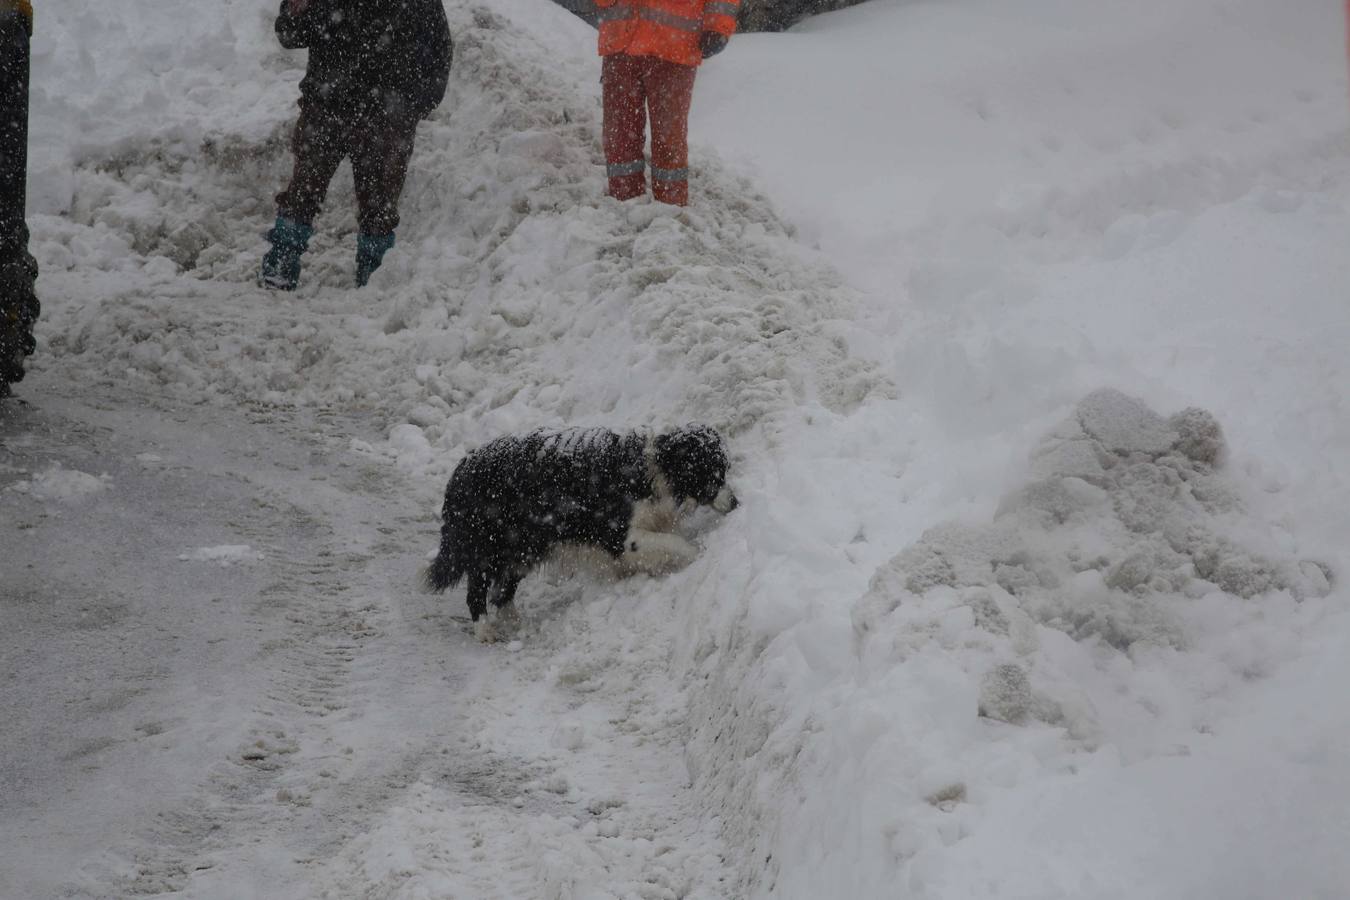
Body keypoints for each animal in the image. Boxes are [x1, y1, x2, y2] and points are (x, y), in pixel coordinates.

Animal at [423, 423, 734, 639]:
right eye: (712, 473)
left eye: (725, 470)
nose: (735, 502)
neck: (654, 469)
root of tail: (463, 468)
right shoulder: (621, 535)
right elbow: (674, 543)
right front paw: (698, 555)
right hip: (489, 545)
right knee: (477, 589)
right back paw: (485, 630)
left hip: (524, 546)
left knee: (503, 591)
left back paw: (517, 623)